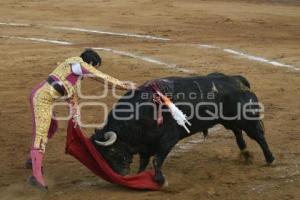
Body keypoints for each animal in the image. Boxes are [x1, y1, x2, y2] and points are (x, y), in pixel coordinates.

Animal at [90, 73, 276, 184]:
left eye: (111, 151)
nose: (120, 173)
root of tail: (236, 79)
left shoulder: (168, 139)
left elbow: (157, 159)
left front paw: (160, 180)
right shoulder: (145, 144)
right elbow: (144, 161)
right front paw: (139, 176)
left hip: (248, 120)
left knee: (259, 136)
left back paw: (269, 158)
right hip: (230, 120)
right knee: (238, 134)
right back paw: (245, 155)